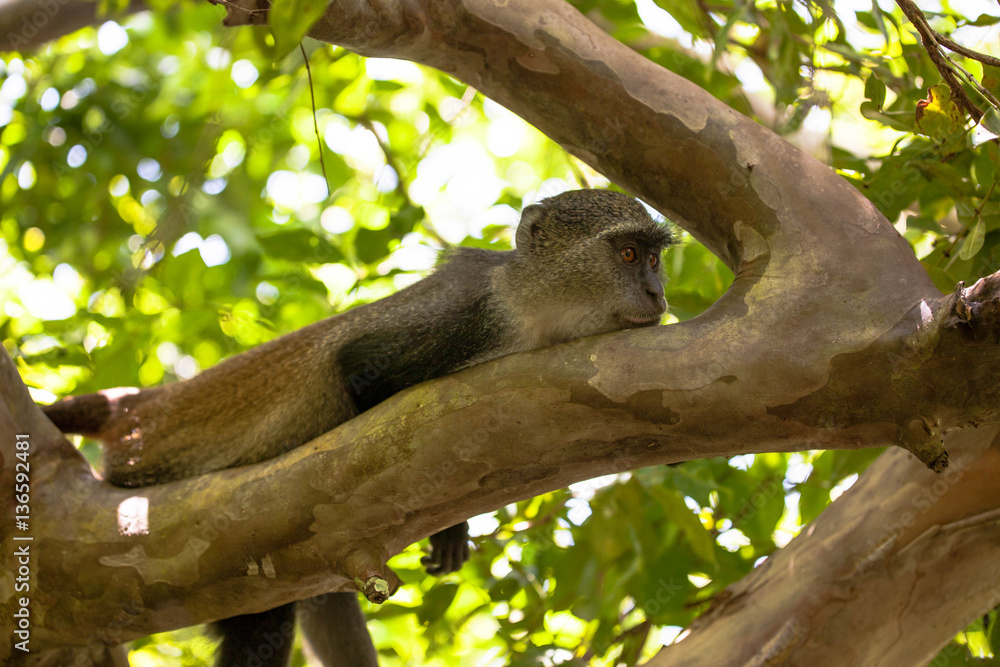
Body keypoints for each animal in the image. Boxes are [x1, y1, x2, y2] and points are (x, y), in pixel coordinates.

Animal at [45, 189, 672, 667]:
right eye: (628, 253)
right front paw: (447, 526)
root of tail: (133, 408)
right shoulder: (463, 312)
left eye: (656, 261)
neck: (537, 311)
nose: (658, 295)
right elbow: (360, 379)